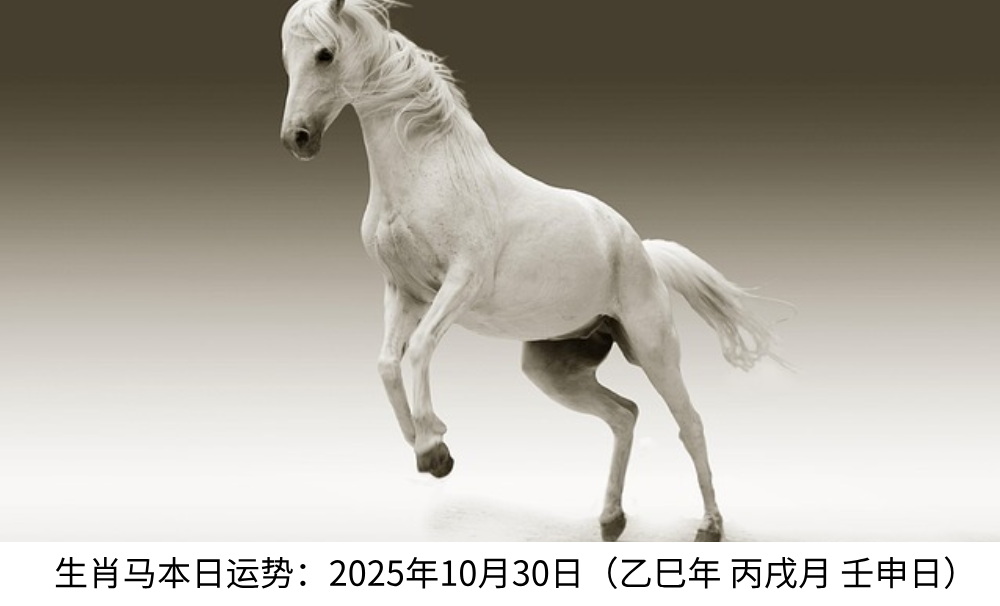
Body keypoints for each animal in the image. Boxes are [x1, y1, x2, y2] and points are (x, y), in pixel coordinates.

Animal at [279, 0, 786, 542]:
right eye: (288, 60)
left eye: (325, 54)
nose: (297, 138)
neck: (428, 170)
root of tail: (641, 250)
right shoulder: (404, 292)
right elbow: (386, 364)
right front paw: (427, 445)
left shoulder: (460, 284)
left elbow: (417, 351)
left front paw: (434, 449)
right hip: (553, 368)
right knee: (624, 415)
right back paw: (611, 518)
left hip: (653, 350)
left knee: (689, 422)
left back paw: (710, 525)